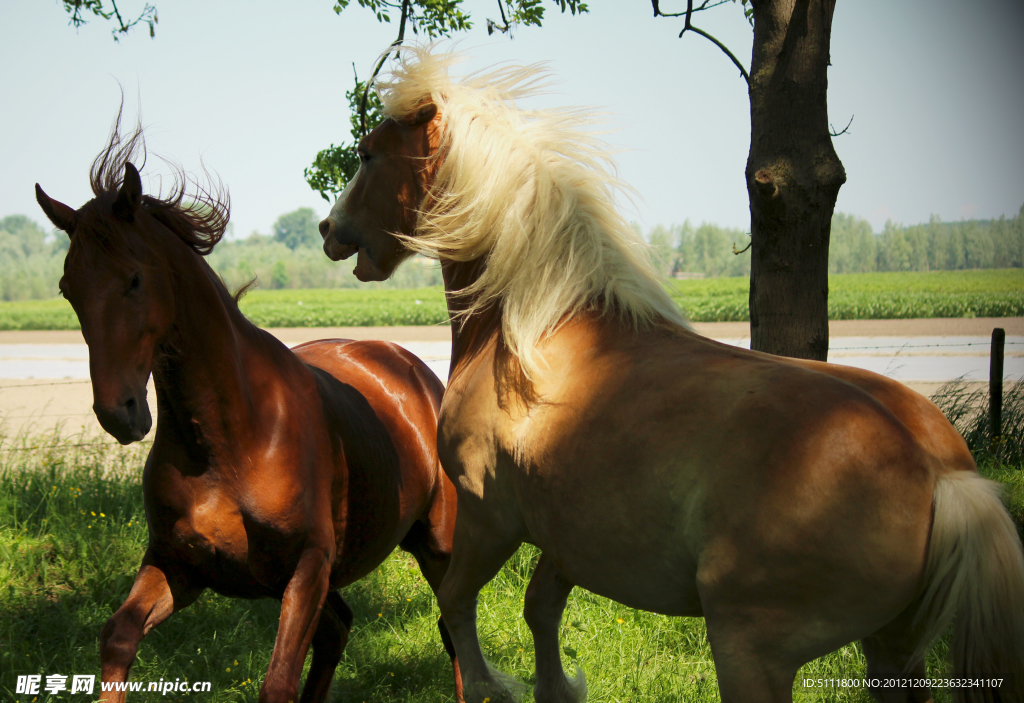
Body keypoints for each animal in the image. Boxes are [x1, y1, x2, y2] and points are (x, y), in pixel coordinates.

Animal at [36, 122, 460, 703]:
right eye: (66, 289)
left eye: (134, 279)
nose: (119, 414)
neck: (233, 436)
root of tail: (413, 369)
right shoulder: (178, 564)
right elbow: (118, 637)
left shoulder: (307, 567)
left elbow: (277, 681)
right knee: (340, 629)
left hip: (436, 546)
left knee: (455, 630)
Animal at [319, 45, 1024, 703]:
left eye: (368, 154)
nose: (329, 229)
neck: (531, 328)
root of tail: (940, 475)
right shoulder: (568, 536)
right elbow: (540, 609)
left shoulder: (489, 517)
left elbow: (458, 609)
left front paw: (494, 685)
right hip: (893, 647)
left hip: (751, 649)